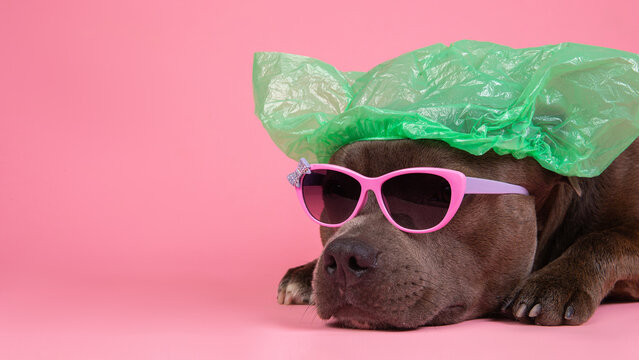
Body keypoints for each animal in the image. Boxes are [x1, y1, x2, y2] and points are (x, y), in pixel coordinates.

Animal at [276, 139, 639, 330]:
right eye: (336, 191)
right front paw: (304, 273)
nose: (342, 255)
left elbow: (606, 238)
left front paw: (557, 281)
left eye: (435, 195)